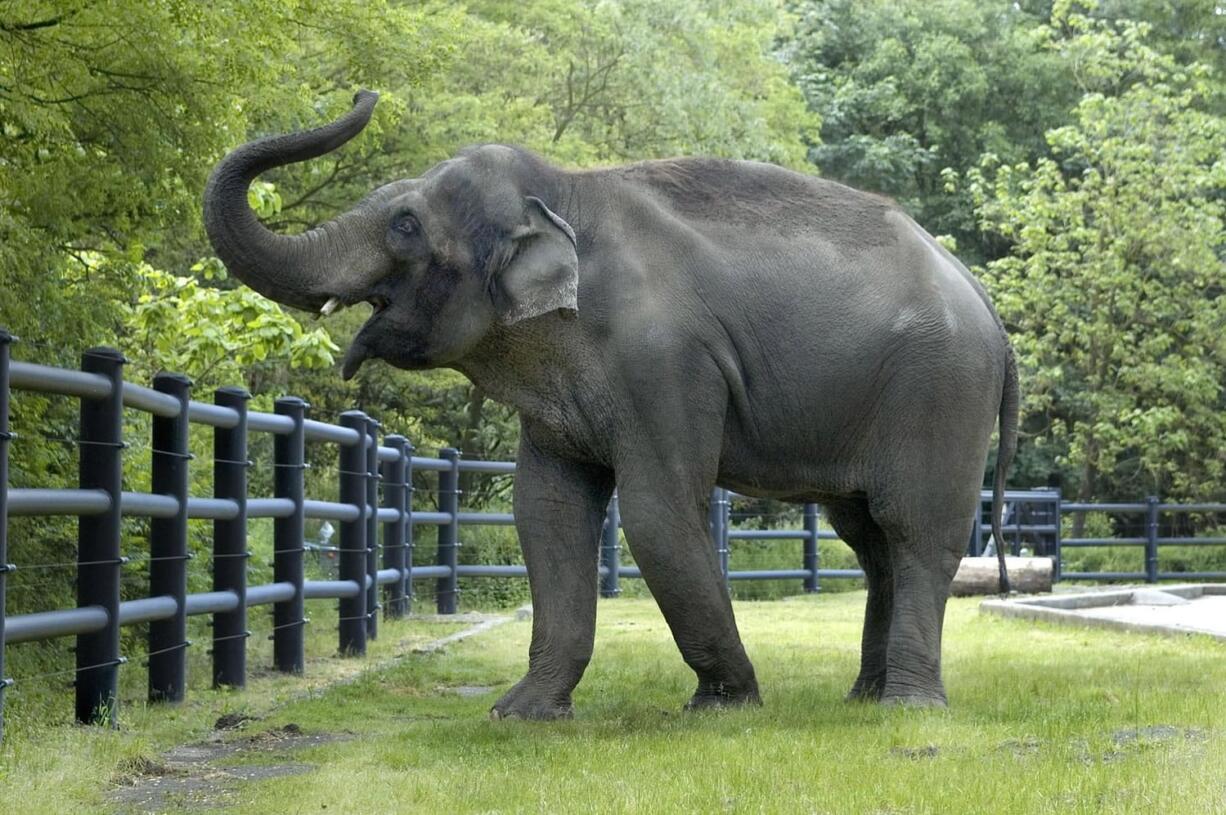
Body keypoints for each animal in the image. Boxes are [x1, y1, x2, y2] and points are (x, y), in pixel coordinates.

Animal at [208, 90, 1015, 720]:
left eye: (405, 225)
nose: (366, 97)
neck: (563, 193)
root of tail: (987, 306)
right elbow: (547, 514)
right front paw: (520, 714)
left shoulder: (666, 361)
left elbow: (657, 514)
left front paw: (725, 705)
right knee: (869, 539)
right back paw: (863, 698)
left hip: (941, 388)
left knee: (914, 530)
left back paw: (909, 708)